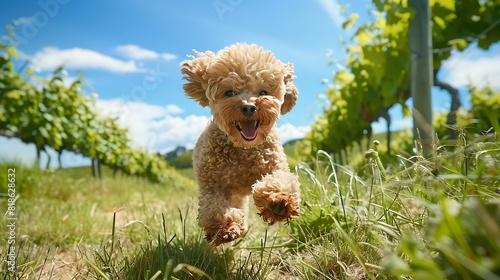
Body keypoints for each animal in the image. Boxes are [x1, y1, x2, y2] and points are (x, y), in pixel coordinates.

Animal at [183, 43, 302, 245]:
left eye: (263, 92)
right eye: (229, 92)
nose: (248, 107)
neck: (244, 150)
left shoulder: (275, 166)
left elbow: (280, 180)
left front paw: (279, 202)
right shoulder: (212, 186)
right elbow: (214, 208)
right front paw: (225, 227)